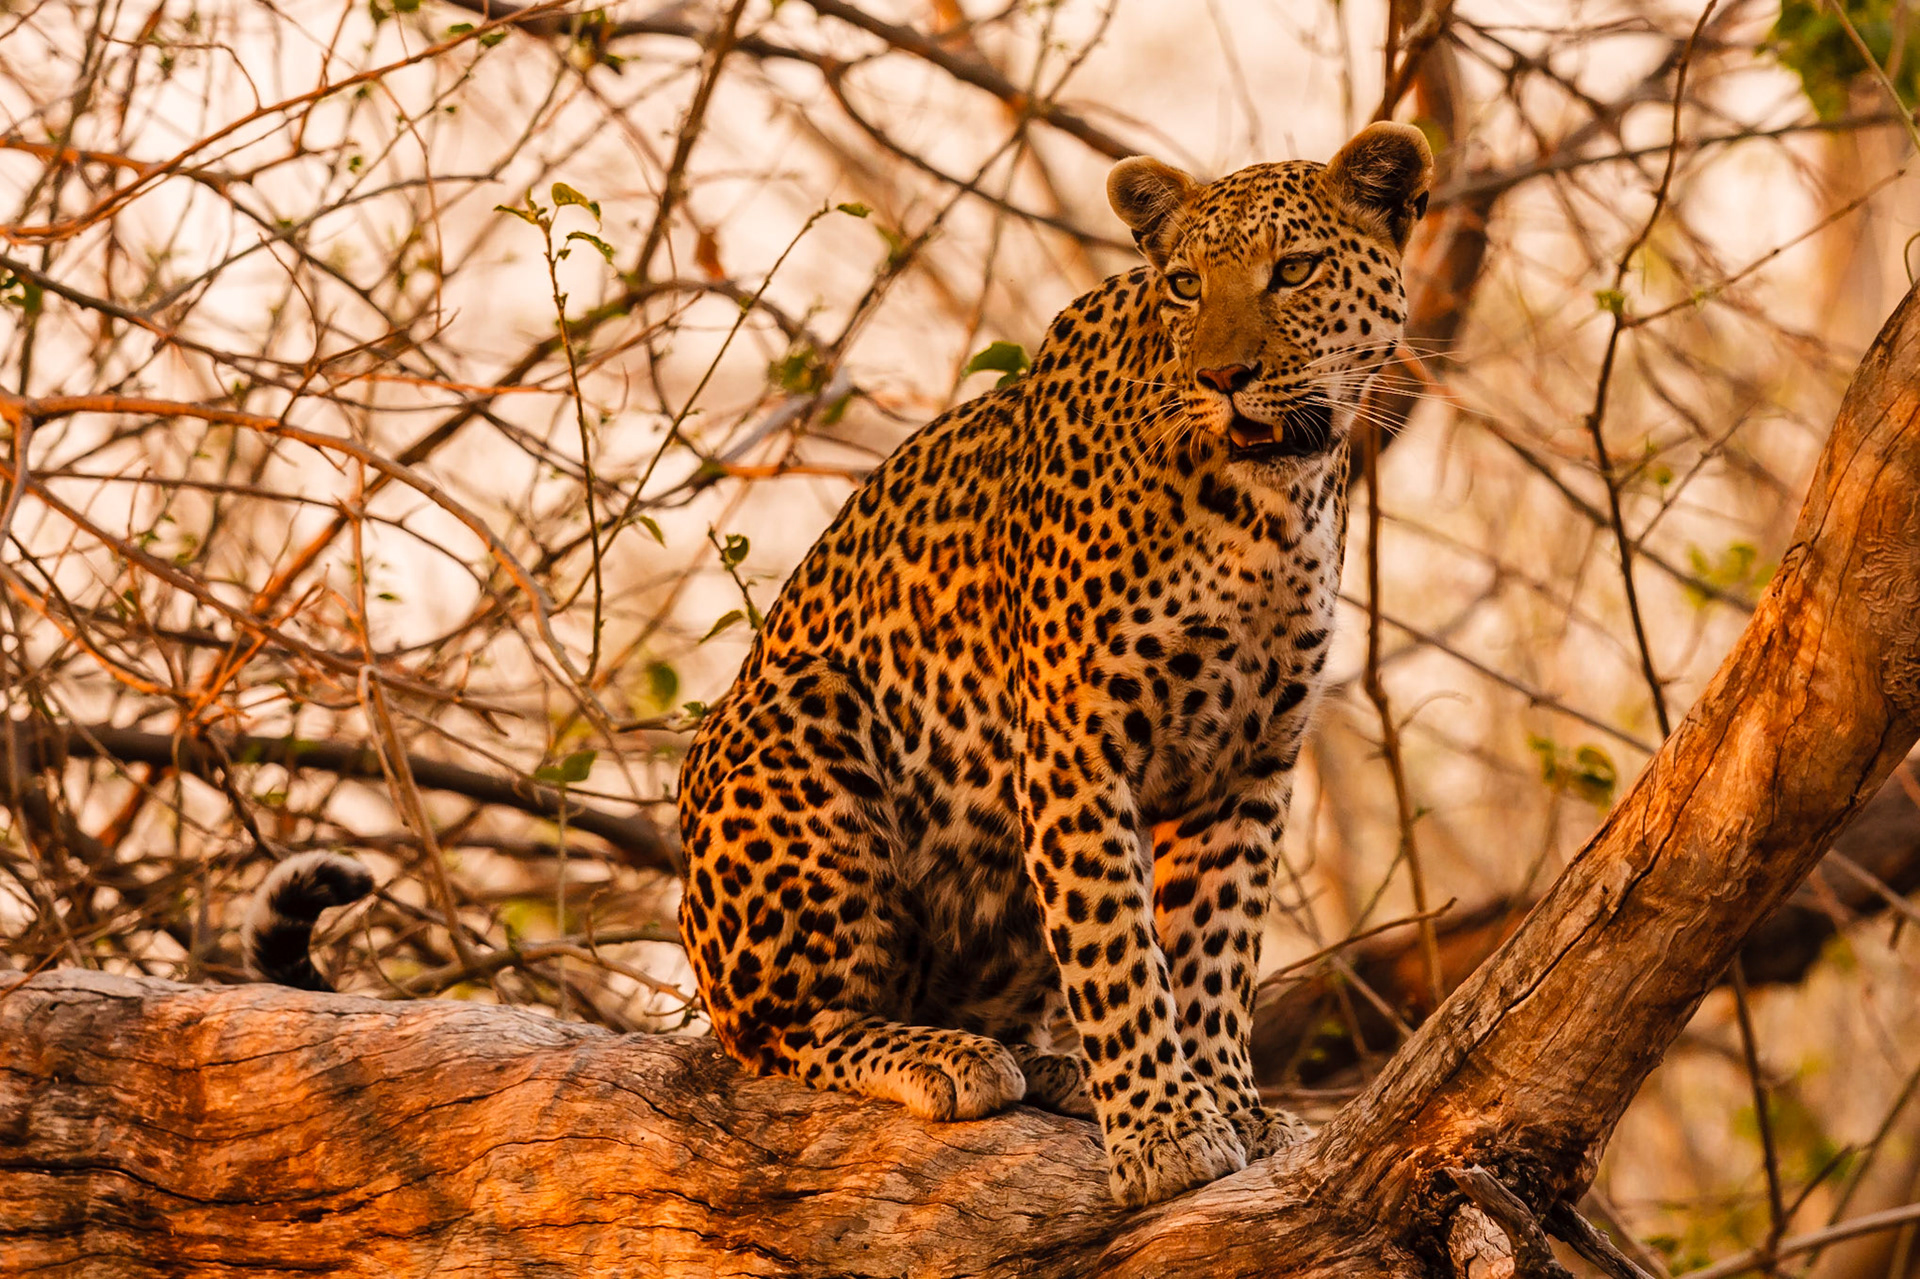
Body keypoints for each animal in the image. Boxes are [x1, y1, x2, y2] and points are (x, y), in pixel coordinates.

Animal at [677, 122, 1434, 1208]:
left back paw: (1051, 1066)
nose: (1226, 377)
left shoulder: (1251, 763)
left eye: (1294, 271)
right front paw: (1166, 1129)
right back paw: (943, 1056)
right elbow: (1116, 945)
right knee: (778, 1028)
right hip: (803, 725)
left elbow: (1215, 951)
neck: (1269, 504)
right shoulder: (1079, 740)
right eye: (1184, 286)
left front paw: (1227, 1100)